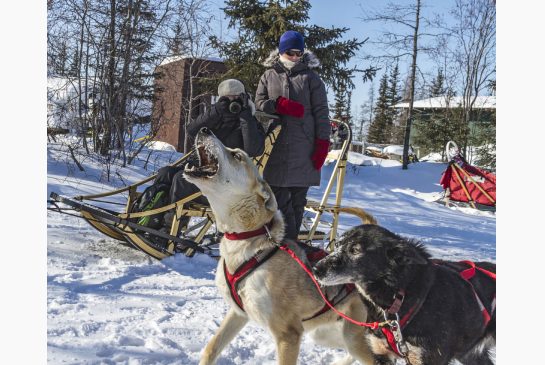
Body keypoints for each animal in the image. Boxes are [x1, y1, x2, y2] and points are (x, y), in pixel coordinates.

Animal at [183, 128, 374, 364]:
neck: (248, 242)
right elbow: (211, 348)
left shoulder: (288, 333)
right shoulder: (238, 313)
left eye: (237, 155)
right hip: (330, 334)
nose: (204, 129)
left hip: (353, 338)